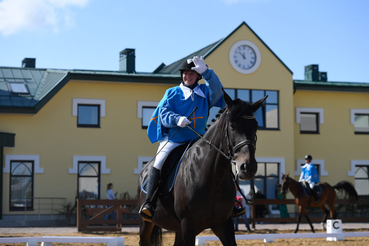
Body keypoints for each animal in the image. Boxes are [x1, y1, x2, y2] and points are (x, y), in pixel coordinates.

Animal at [137, 91, 266, 246]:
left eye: (255, 126)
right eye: (232, 126)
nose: (248, 167)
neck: (213, 176)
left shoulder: (224, 225)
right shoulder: (188, 226)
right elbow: (165, 110)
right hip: (146, 223)